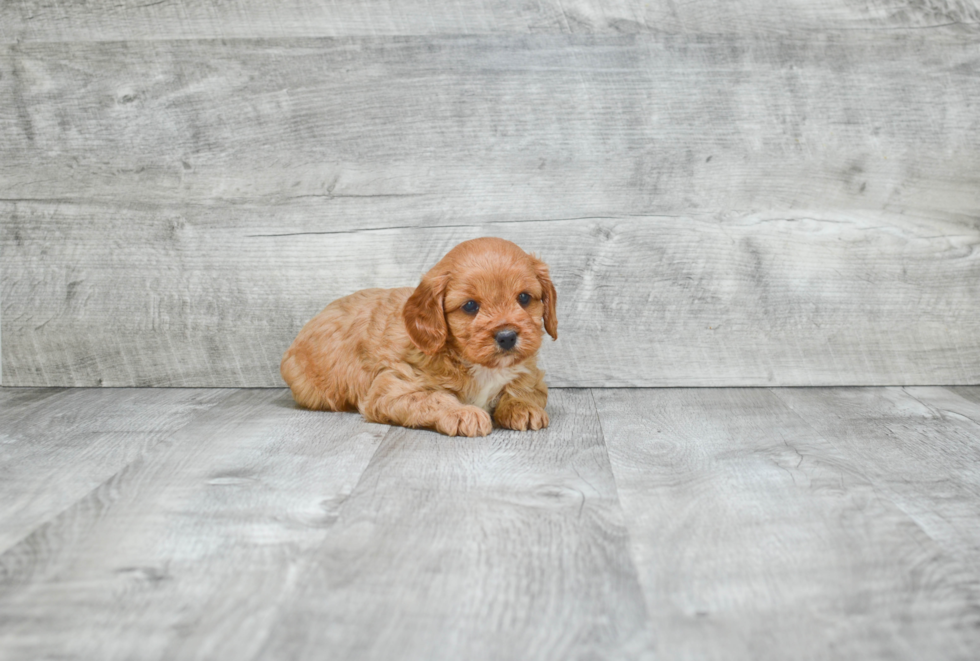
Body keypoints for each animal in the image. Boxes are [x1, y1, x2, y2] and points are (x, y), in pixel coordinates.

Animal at [284, 235, 560, 436]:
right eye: (470, 306)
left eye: (524, 298)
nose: (507, 336)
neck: (479, 366)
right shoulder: (393, 388)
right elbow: (433, 398)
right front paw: (462, 413)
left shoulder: (532, 375)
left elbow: (523, 389)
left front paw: (524, 408)